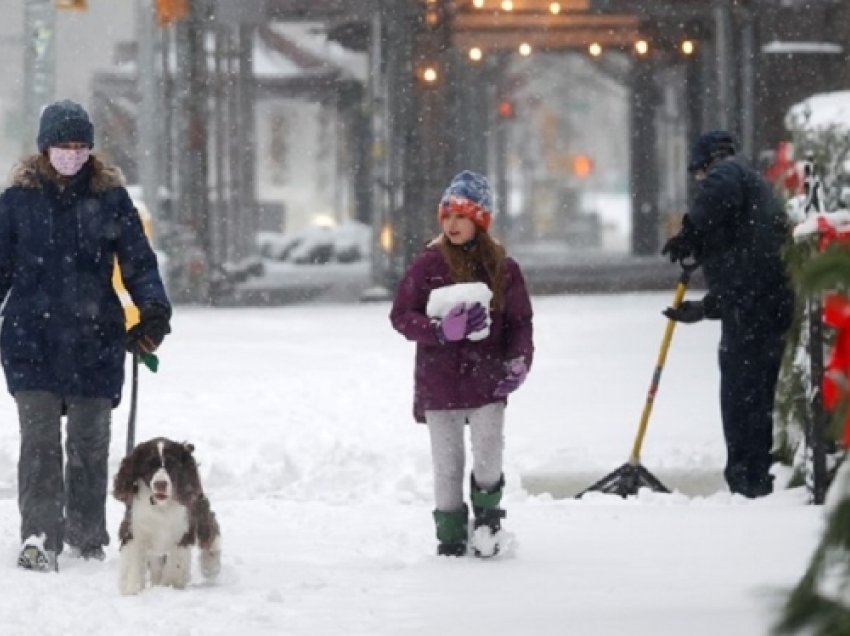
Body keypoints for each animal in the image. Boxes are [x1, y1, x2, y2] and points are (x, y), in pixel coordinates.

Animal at [112, 438, 222, 596]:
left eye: (172, 464)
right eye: (149, 464)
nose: (160, 484)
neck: (161, 506)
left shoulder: (182, 533)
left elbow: (175, 564)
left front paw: (170, 586)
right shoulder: (134, 531)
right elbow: (133, 562)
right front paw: (131, 590)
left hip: (198, 506)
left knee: (210, 531)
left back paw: (211, 566)